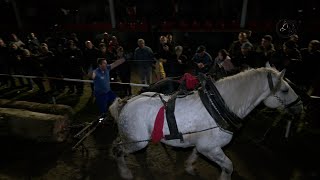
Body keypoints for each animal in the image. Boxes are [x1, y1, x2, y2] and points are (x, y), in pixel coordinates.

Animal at [109, 67, 302, 179]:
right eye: (285, 90)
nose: (300, 107)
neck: (219, 107)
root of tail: (126, 102)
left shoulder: (204, 146)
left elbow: (195, 153)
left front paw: (189, 167)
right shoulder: (210, 148)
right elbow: (228, 167)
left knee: (116, 143)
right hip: (137, 142)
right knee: (118, 149)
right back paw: (125, 173)